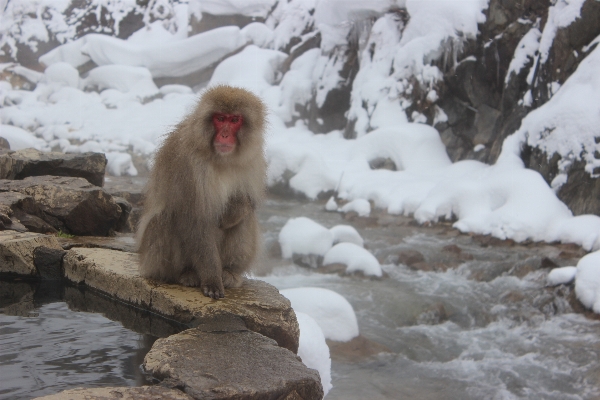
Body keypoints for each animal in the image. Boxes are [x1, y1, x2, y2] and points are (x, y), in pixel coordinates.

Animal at [138, 84, 268, 298]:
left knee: (246, 218)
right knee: (166, 218)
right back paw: (185, 273)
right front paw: (212, 279)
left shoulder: (253, 160)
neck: (221, 159)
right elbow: (195, 220)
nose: (225, 135)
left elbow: (245, 203)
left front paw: (236, 209)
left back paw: (230, 271)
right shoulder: (188, 166)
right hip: (153, 258)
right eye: (220, 118)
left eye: (234, 120)